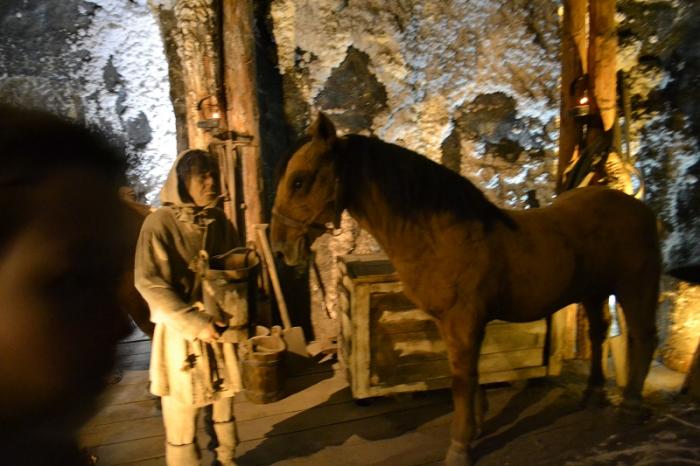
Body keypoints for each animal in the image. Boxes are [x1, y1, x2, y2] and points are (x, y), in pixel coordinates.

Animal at [270, 113, 661, 465]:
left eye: (299, 181)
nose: (280, 246)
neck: (442, 234)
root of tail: (638, 204)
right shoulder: (452, 324)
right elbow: (468, 376)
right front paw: (476, 426)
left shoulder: (463, 321)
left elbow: (461, 380)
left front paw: (459, 447)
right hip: (595, 292)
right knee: (598, 334)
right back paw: (593, 394)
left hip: (636, 287)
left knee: (644, 337)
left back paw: (632, 405)